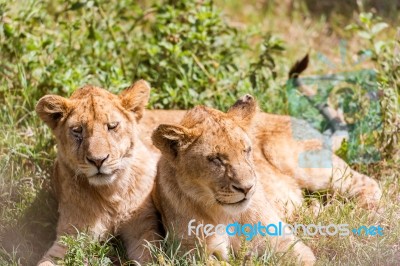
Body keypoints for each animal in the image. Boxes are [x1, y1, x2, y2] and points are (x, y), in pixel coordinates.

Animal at [34, 81, 159, 266]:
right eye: (77, 130)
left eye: (112, 126)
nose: (98, 160)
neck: (111, 193)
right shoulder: (71, 234)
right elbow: (49, 260)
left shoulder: (143, 230)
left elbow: (151, 258)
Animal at [151, 94, 382, 264]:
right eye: (216, 159)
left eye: (246, 150)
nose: (246, 188)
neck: (223, 214)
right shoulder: (191, 254)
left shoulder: (284, 242)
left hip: (294, 159)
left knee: (368, 183)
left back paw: (366, 217)